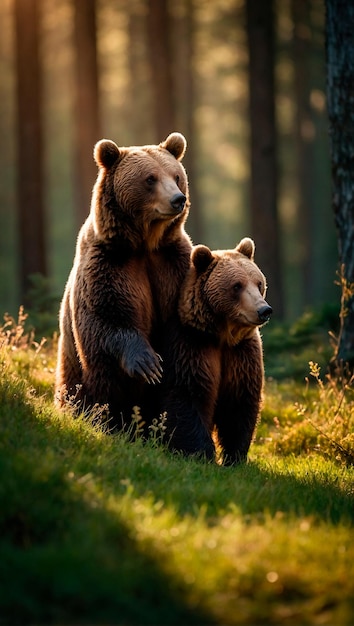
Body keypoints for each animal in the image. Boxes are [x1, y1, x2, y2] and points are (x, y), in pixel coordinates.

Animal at [55, 129, 192, 426]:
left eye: (176, 176)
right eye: (150, 178)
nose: (178, 199)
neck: (145, 243)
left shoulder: (171, 262)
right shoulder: (109, 262)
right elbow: (105, 318)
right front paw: (148, 363)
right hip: (72, 369)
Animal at [162, 238, 272, 464]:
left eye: (259, 283)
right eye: (237, 285)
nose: (264, 310)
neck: (223, 337)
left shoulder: (241, 354)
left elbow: (239, 406)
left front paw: (234, 457)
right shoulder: (192, 345)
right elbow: (188, 397)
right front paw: (202, 454)